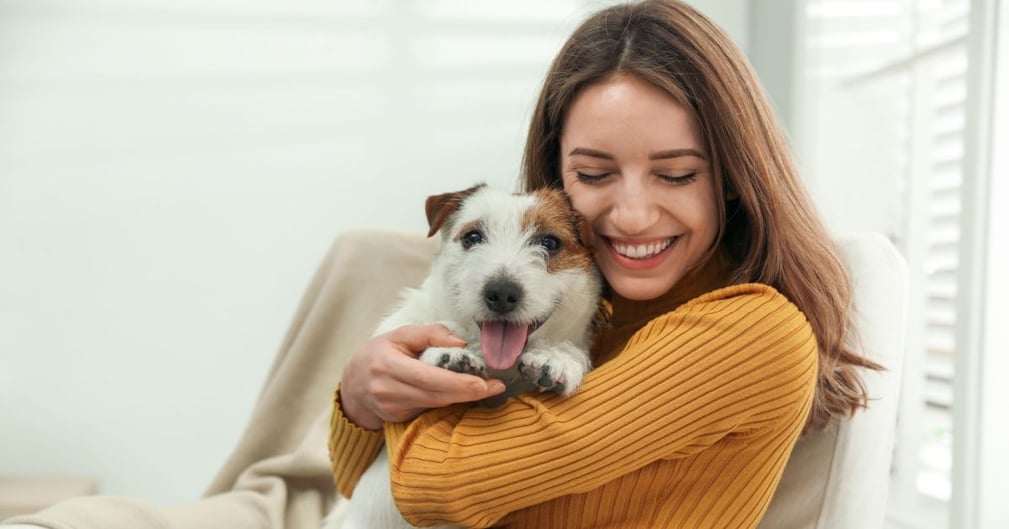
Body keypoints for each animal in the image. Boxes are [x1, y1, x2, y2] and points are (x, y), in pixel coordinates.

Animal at [326, 182, 601, 529]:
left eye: (550, 242)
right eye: (472, 237)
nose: (501, 293)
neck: (501, 370)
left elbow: (569, 349)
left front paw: (557, 358)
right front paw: (449, 352)